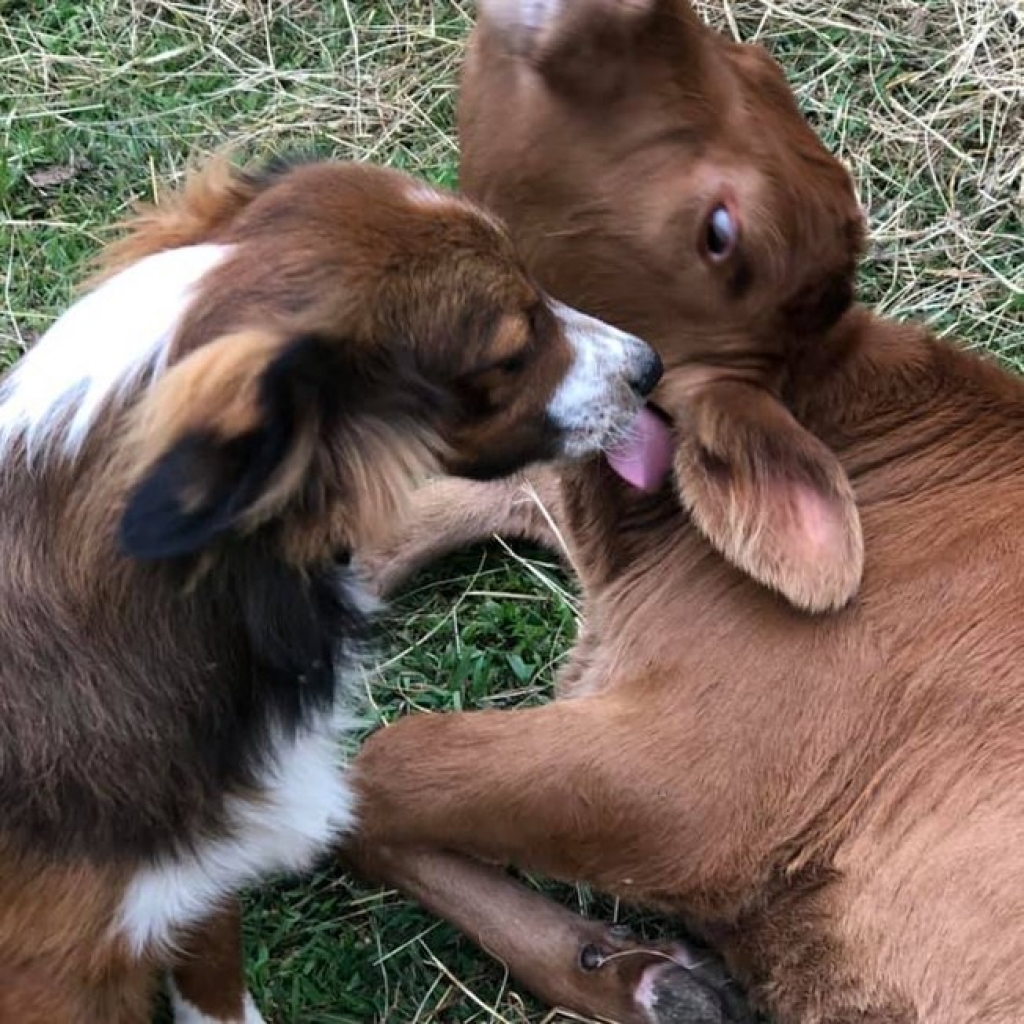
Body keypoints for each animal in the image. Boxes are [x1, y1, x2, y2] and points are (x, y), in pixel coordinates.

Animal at [342, 2, 1024, 1024]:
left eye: (720, 231)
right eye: (752, 60)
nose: (630, 8)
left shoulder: (706, 783)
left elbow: (377, 767)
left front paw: (643, 978)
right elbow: (477, 492)